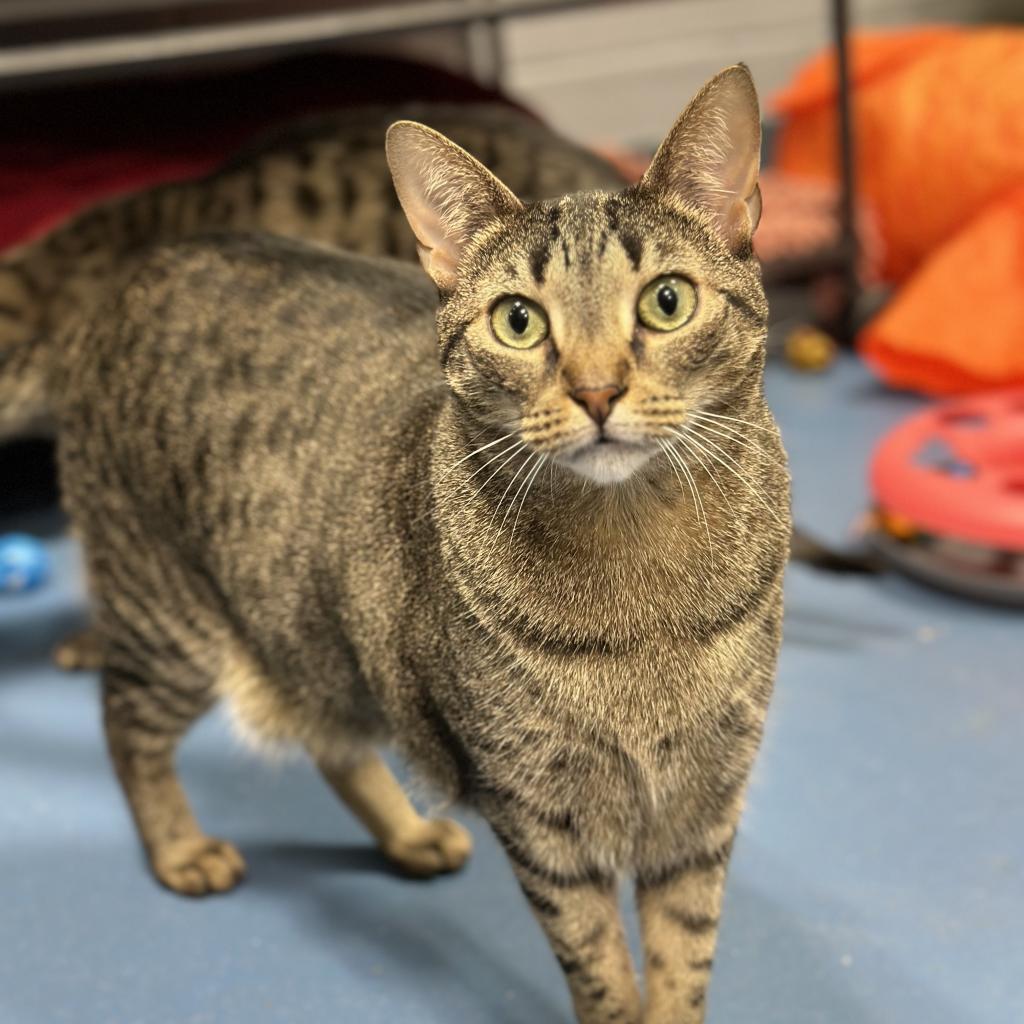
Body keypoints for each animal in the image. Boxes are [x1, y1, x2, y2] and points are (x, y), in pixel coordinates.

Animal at [9, 68, 790, 1019]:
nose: (598, 390)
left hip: (311, 625)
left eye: (666, 302)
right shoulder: (542, 818)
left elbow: (682, 960)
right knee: (124, 721)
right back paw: (177, 848)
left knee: (325, 736)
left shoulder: (703, 802)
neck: (640, 575)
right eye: (519, 322)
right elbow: (600, 966)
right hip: (169, 618)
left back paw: (408, 831)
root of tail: (111, 293)